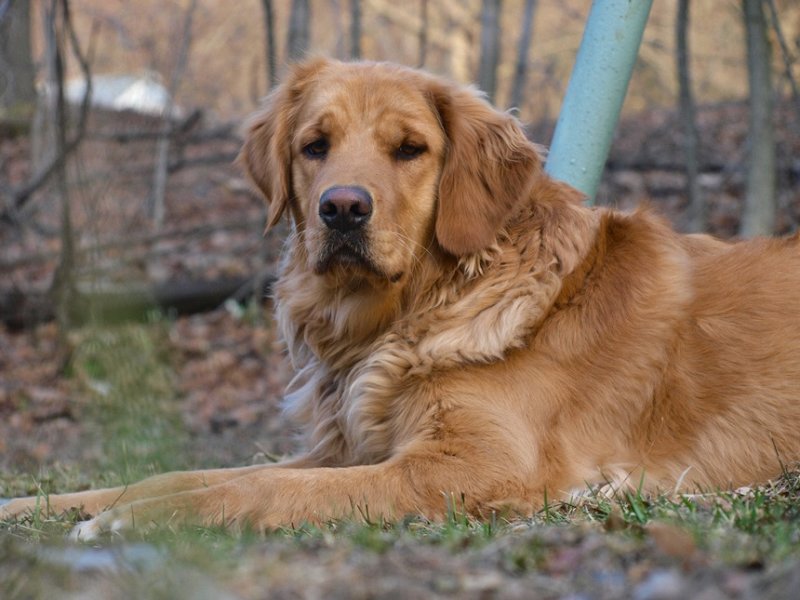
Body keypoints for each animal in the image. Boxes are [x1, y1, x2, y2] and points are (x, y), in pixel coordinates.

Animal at [1, 59, 800, 540]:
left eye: (410, 149)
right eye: (314, 145)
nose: (342, 209)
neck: (411, 313)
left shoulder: (467, 466)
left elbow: (257, 490)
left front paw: (136, 523)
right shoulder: (344, 448)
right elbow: (181, 473)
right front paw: (42, 505)